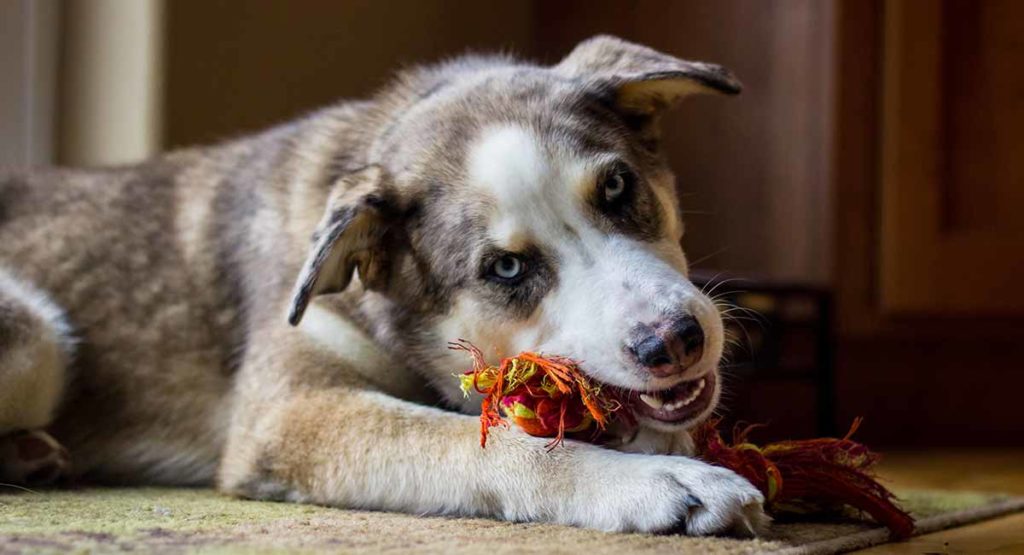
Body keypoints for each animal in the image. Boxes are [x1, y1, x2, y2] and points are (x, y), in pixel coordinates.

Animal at [0, 33, 765, 536]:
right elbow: (483, 443)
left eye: (616, 187)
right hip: (35, 335)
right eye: (506, 269)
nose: (675, 341)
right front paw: (658, 482)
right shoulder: (290, 414)